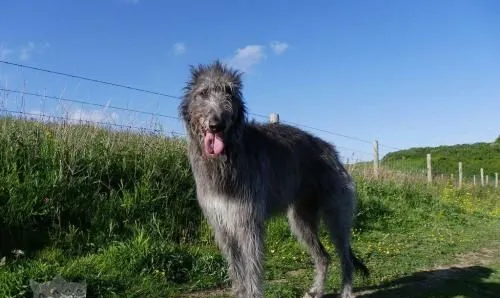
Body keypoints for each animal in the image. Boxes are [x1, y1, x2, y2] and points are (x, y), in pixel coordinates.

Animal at [179, 61, 368, 298]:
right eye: (203, 93)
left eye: (229, 93)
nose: (217, 125)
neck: (225, 160)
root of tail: (331, 151)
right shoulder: (222, 226)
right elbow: (237, 272)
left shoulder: (247, 223)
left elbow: (251, 272)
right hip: (300, 221)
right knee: (323, 256)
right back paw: (316, 290)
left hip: (336, 214)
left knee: (345, 257)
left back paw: (346, 291)